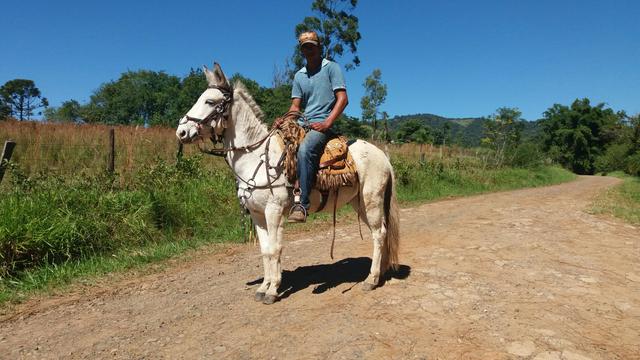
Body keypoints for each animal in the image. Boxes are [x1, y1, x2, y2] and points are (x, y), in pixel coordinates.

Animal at [175, 62, 400, 304]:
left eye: (209, 101)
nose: (181, 131)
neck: (257, 156)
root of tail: (383, 156)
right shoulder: (257, 214)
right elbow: (265, 250)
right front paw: (263, 287)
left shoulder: (274, 211)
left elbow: (275, 249)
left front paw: (273, 290)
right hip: (359, 204)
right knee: (379, 233)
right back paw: (380, 274)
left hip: (371, 200)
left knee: (379, 234)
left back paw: (371, 280)